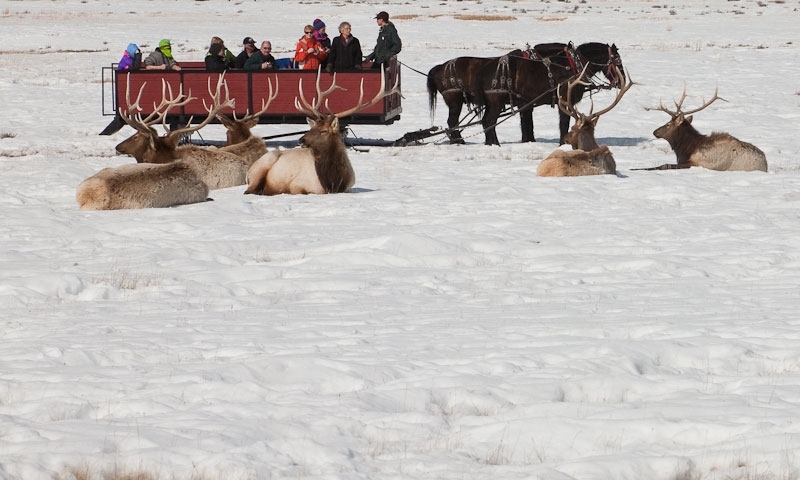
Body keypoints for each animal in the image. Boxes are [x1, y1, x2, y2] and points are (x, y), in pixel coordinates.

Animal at [245, 69, 400, 195]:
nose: (301, 140)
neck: (332, 181)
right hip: (263, 165)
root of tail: (248, 173)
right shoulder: (297, 185)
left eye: (324, 131)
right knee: (250, 190)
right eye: (311, 128)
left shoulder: (348, 187)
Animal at [636, 87, 767, 172]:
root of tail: (765, 164)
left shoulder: (695, 163)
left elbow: (664, 165)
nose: (655, 132)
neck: (684, 149)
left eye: (668, 124)